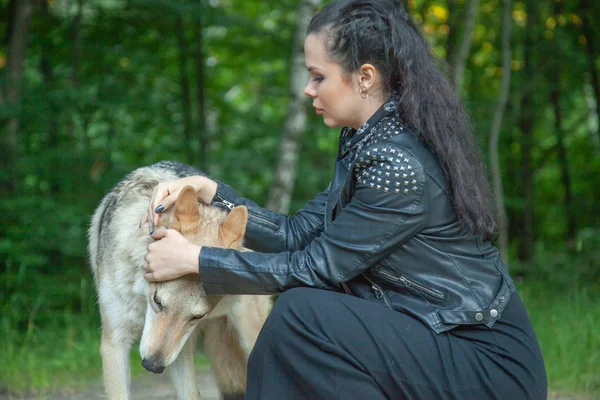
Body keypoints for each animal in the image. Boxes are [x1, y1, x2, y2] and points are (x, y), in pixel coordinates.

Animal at [88, 162, 272, 400]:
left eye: (197, 317)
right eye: (157, 301)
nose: (152, 366)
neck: (142, 296)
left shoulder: (181, 351)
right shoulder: (115, 343)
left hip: (251, 335)